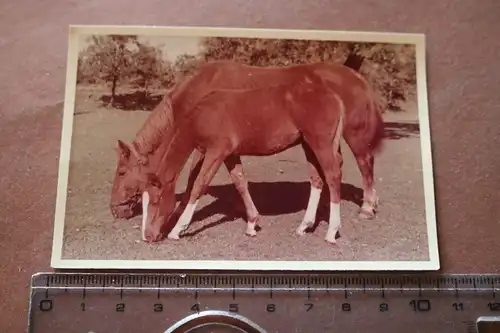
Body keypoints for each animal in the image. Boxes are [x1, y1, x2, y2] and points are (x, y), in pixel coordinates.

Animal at [110, 59, 382, 226]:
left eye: (122, 172)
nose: (114, 209)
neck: (200, 90)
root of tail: (356, 76)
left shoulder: (206, 148)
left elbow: (194, 179)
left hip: (353, 134)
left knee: (365, 163)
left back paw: (367, 207)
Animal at [131, 79, 346, 243]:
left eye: (156, 200)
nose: (147, 237)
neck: (205, 113)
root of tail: (334, 96)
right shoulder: (230, 154)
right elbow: (240, 182)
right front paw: (251, 224)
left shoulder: (216, 152)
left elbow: (199, 185)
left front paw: (178, 229)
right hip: (308, 144)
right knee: (317, 179)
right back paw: (304, 226)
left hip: (320, 144)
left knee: (333, 176)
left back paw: (331, 232)